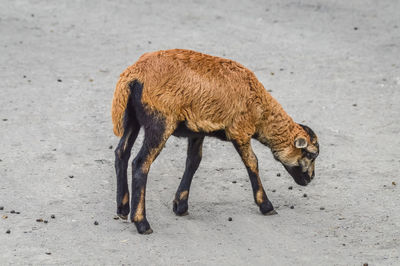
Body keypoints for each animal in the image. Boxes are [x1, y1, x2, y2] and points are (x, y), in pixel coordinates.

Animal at [111, 48, 320, 234]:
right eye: (310, 154)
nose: (310, 179)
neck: (262, 114)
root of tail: (133, 75)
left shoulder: (197, 131)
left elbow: (193, 162)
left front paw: (180, 205)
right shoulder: (240, 131)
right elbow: (252, 162)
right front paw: (266, 205)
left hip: (132, 117)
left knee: (121, 153)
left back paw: (123, 208)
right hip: (160, 121)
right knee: (140, 163)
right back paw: (142, 223)